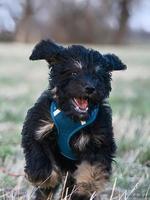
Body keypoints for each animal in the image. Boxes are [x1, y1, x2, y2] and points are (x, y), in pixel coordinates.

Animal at [21, 39, 126, 199]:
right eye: (74, 72)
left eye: (97, 76)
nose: (90, 88)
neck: (72, 118)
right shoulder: (37, 127)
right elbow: (38, 154)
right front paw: (44, 177)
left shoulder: (99, 142)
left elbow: (93, 169)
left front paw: (85, 188)